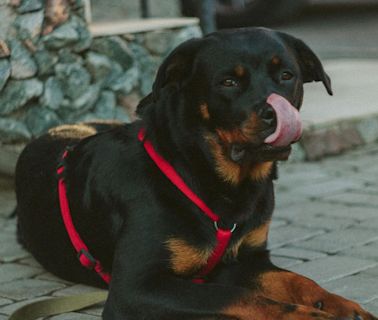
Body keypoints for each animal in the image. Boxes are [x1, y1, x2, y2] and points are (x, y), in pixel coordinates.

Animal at [14, 27, 376, 320]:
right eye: (228, 82)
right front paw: (310, 316)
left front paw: (342, 305)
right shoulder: (136, 287)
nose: (273, 113)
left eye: (287, 75)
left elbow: (297, 279)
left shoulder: (248, 259)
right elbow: (241, 297)